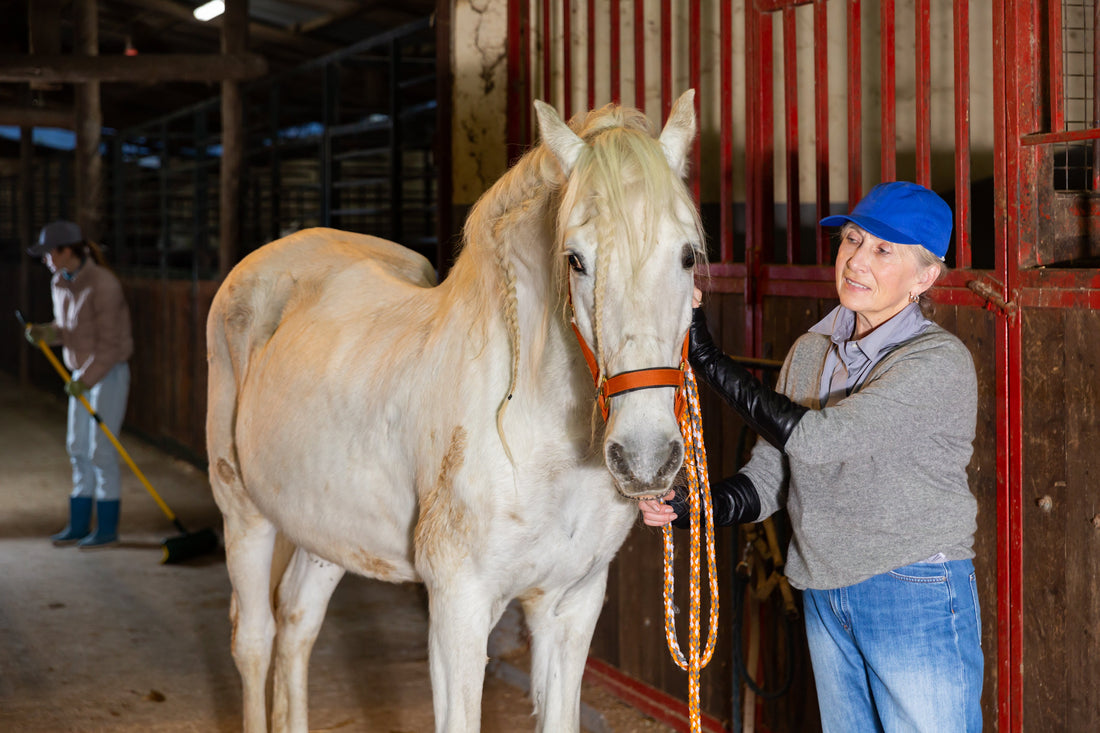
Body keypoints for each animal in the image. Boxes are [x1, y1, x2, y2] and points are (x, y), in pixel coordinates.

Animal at [205, 90, 705, 733]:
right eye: (575, 259)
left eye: (688, 256)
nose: (644, 458)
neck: (540, 444)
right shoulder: (456, 612)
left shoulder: (571, 605)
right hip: (242, 512)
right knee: (254, 639)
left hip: (324, 530)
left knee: (296, 624)